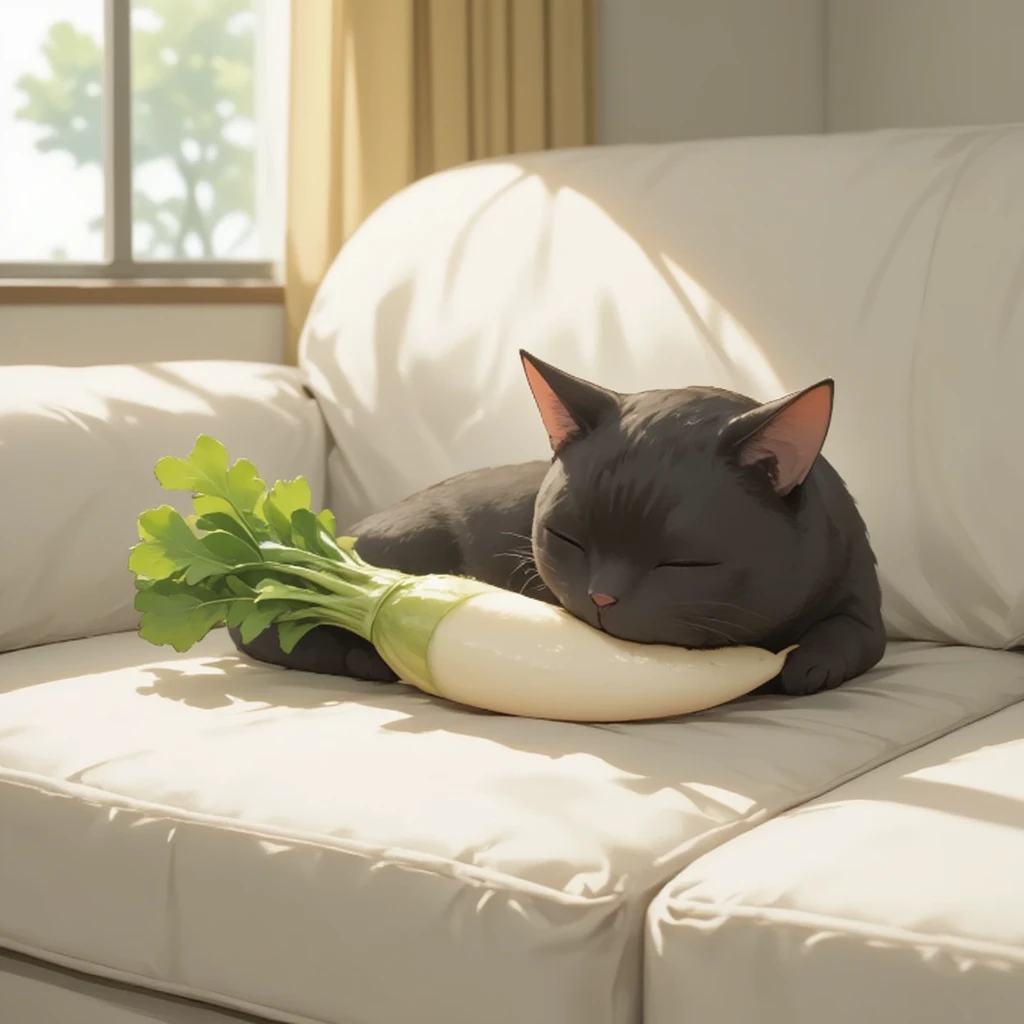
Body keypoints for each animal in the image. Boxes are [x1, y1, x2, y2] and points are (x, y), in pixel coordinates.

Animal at [228, 350, 884, 696]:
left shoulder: (861, 597)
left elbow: (852, 637)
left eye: (682, 563)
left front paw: (807, 660)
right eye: (567, 539)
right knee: (269, 628)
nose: (602, 596)